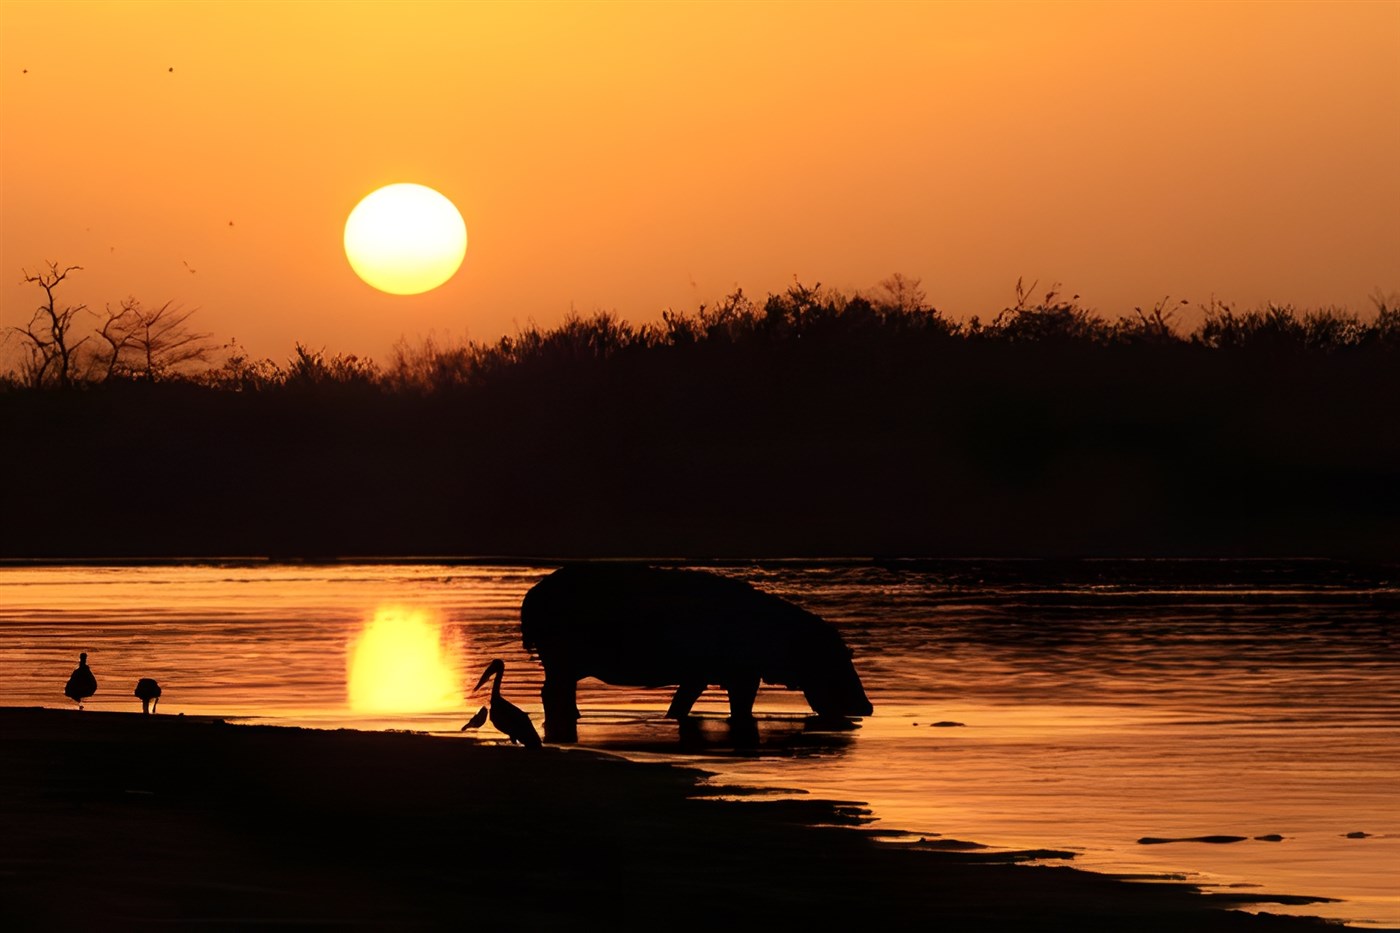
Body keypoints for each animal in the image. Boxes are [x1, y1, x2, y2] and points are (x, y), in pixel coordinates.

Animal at [520, 564, 873, 743]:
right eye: (837, 662)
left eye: (849, 656)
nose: (868, 707)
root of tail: (533, 595)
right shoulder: (743, 674)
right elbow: (740, 707)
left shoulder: (700, 675)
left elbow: (682, 703)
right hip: (560, 659)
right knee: (550, 692)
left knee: (559, 692)